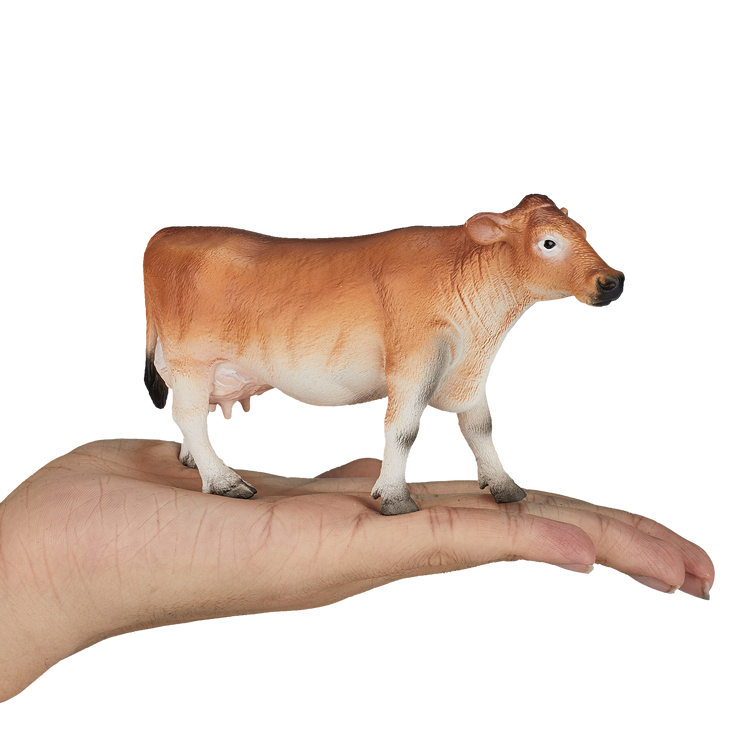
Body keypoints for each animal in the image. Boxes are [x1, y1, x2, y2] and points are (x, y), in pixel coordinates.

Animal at [141, 192, 626, 515]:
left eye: (585, 233)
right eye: (549, 243)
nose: (614, 280)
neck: (486, 331)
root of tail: (168, 233)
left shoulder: (469, 370)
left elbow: (480, 426)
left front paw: (505, 486)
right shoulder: (416, 358)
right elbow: (403, 429)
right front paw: (394, 496)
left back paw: (194, 463)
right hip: (191, 360)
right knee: (187, 414)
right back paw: (225, 481)